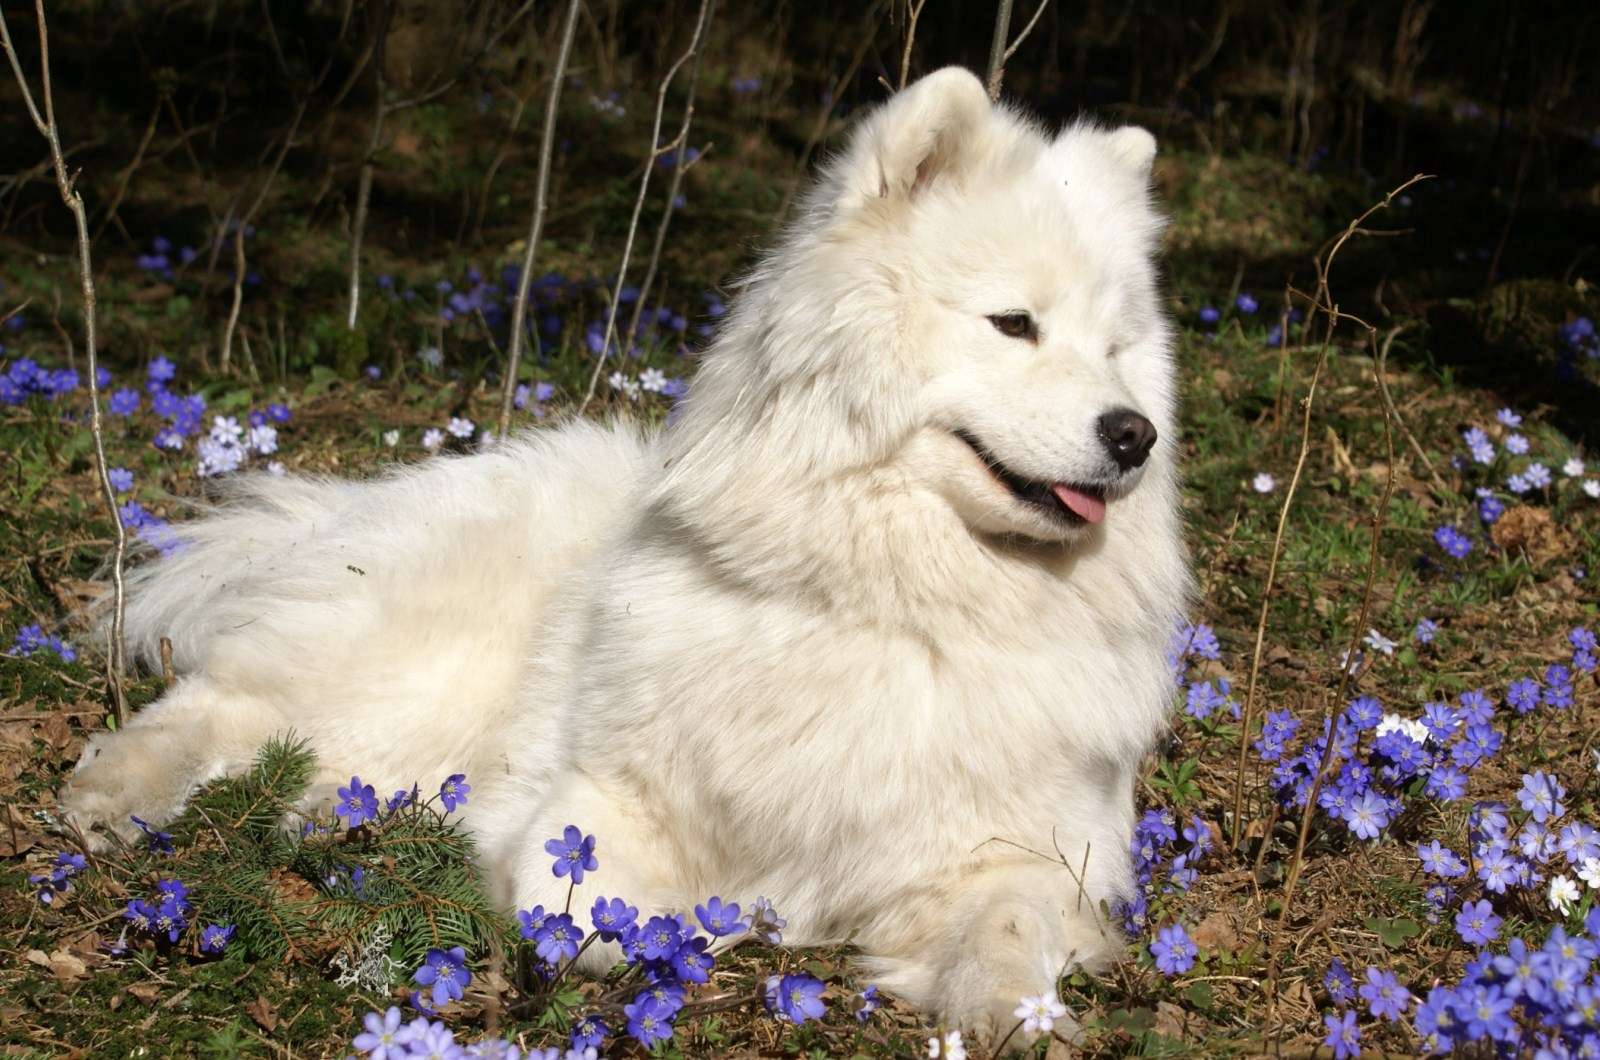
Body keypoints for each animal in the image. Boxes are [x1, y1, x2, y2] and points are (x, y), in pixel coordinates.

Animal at [65, 68, 1190, 1043]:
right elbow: (598, 911)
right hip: (410, 664)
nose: (1134, 434)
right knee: (225, 701)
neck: (902, 603)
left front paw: (1018, 1016)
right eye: (1014, 324)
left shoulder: (1031, 852)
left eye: (1116, 350)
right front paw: (720, 926)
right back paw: (116, 793)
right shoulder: (602, 800)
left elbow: (1009, 930)